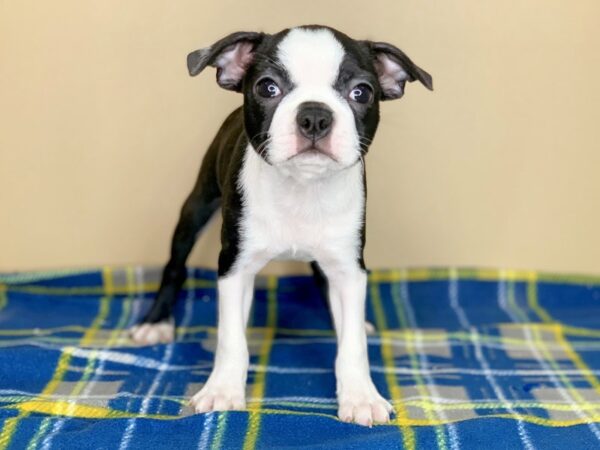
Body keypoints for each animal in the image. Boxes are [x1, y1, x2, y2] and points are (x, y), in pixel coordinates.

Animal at [130, 24, 432, 426]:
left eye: (361, 92)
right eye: (268, 88)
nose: (315, 115)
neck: (302, 189)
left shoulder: (349, 269)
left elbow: (352, 343)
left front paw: (360, 395)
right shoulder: (234, 267)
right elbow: (231, 339)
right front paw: (222, 390)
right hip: (195, 208)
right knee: (174, 266)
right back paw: (157, 322)